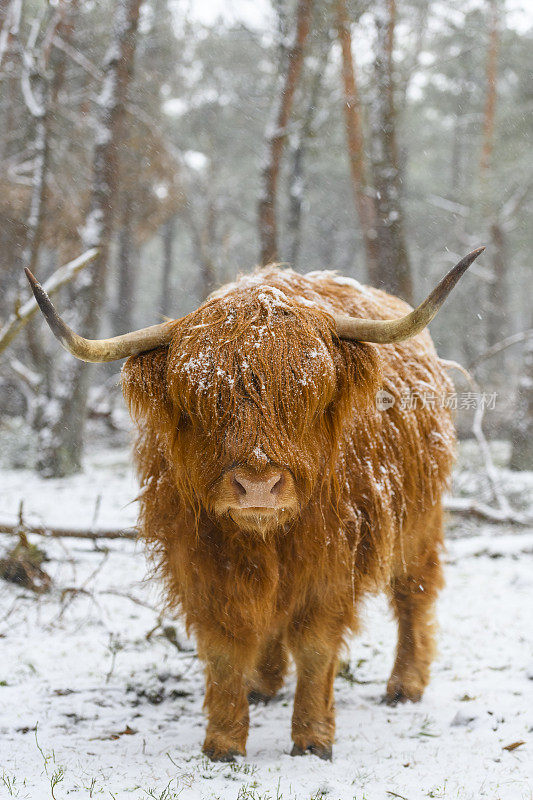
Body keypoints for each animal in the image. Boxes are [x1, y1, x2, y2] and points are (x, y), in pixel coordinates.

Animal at [25, 248, 482, 764]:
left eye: (305, 395)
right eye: (204, 401)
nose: (259, 486)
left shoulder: (333, 562)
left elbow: (316, 647)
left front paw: (313, 739)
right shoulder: (200, 560)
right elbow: (225, 648)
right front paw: (223, 741)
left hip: (419, 523)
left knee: (413, 594)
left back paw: (405, 685)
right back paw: (264, 684)